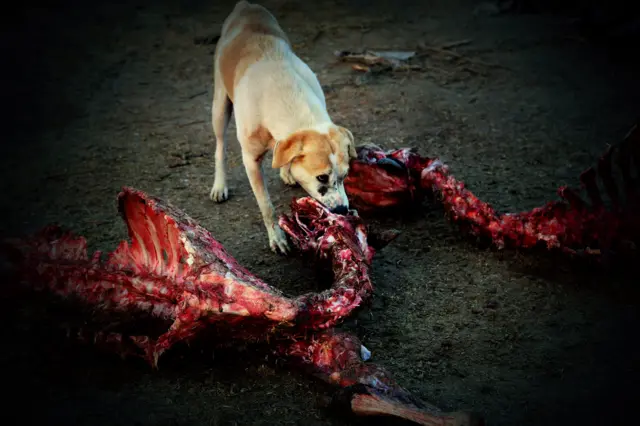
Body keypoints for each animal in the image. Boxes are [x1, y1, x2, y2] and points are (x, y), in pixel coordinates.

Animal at [211, 0, 358, 253]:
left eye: (346, 174)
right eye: (321, 177)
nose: (342, 211)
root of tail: (246, 6)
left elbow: (282, 154)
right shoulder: (250, 161)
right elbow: (266, 206)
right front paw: (277, 238)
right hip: (219, 108)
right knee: (220, 147)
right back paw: (219, 185)